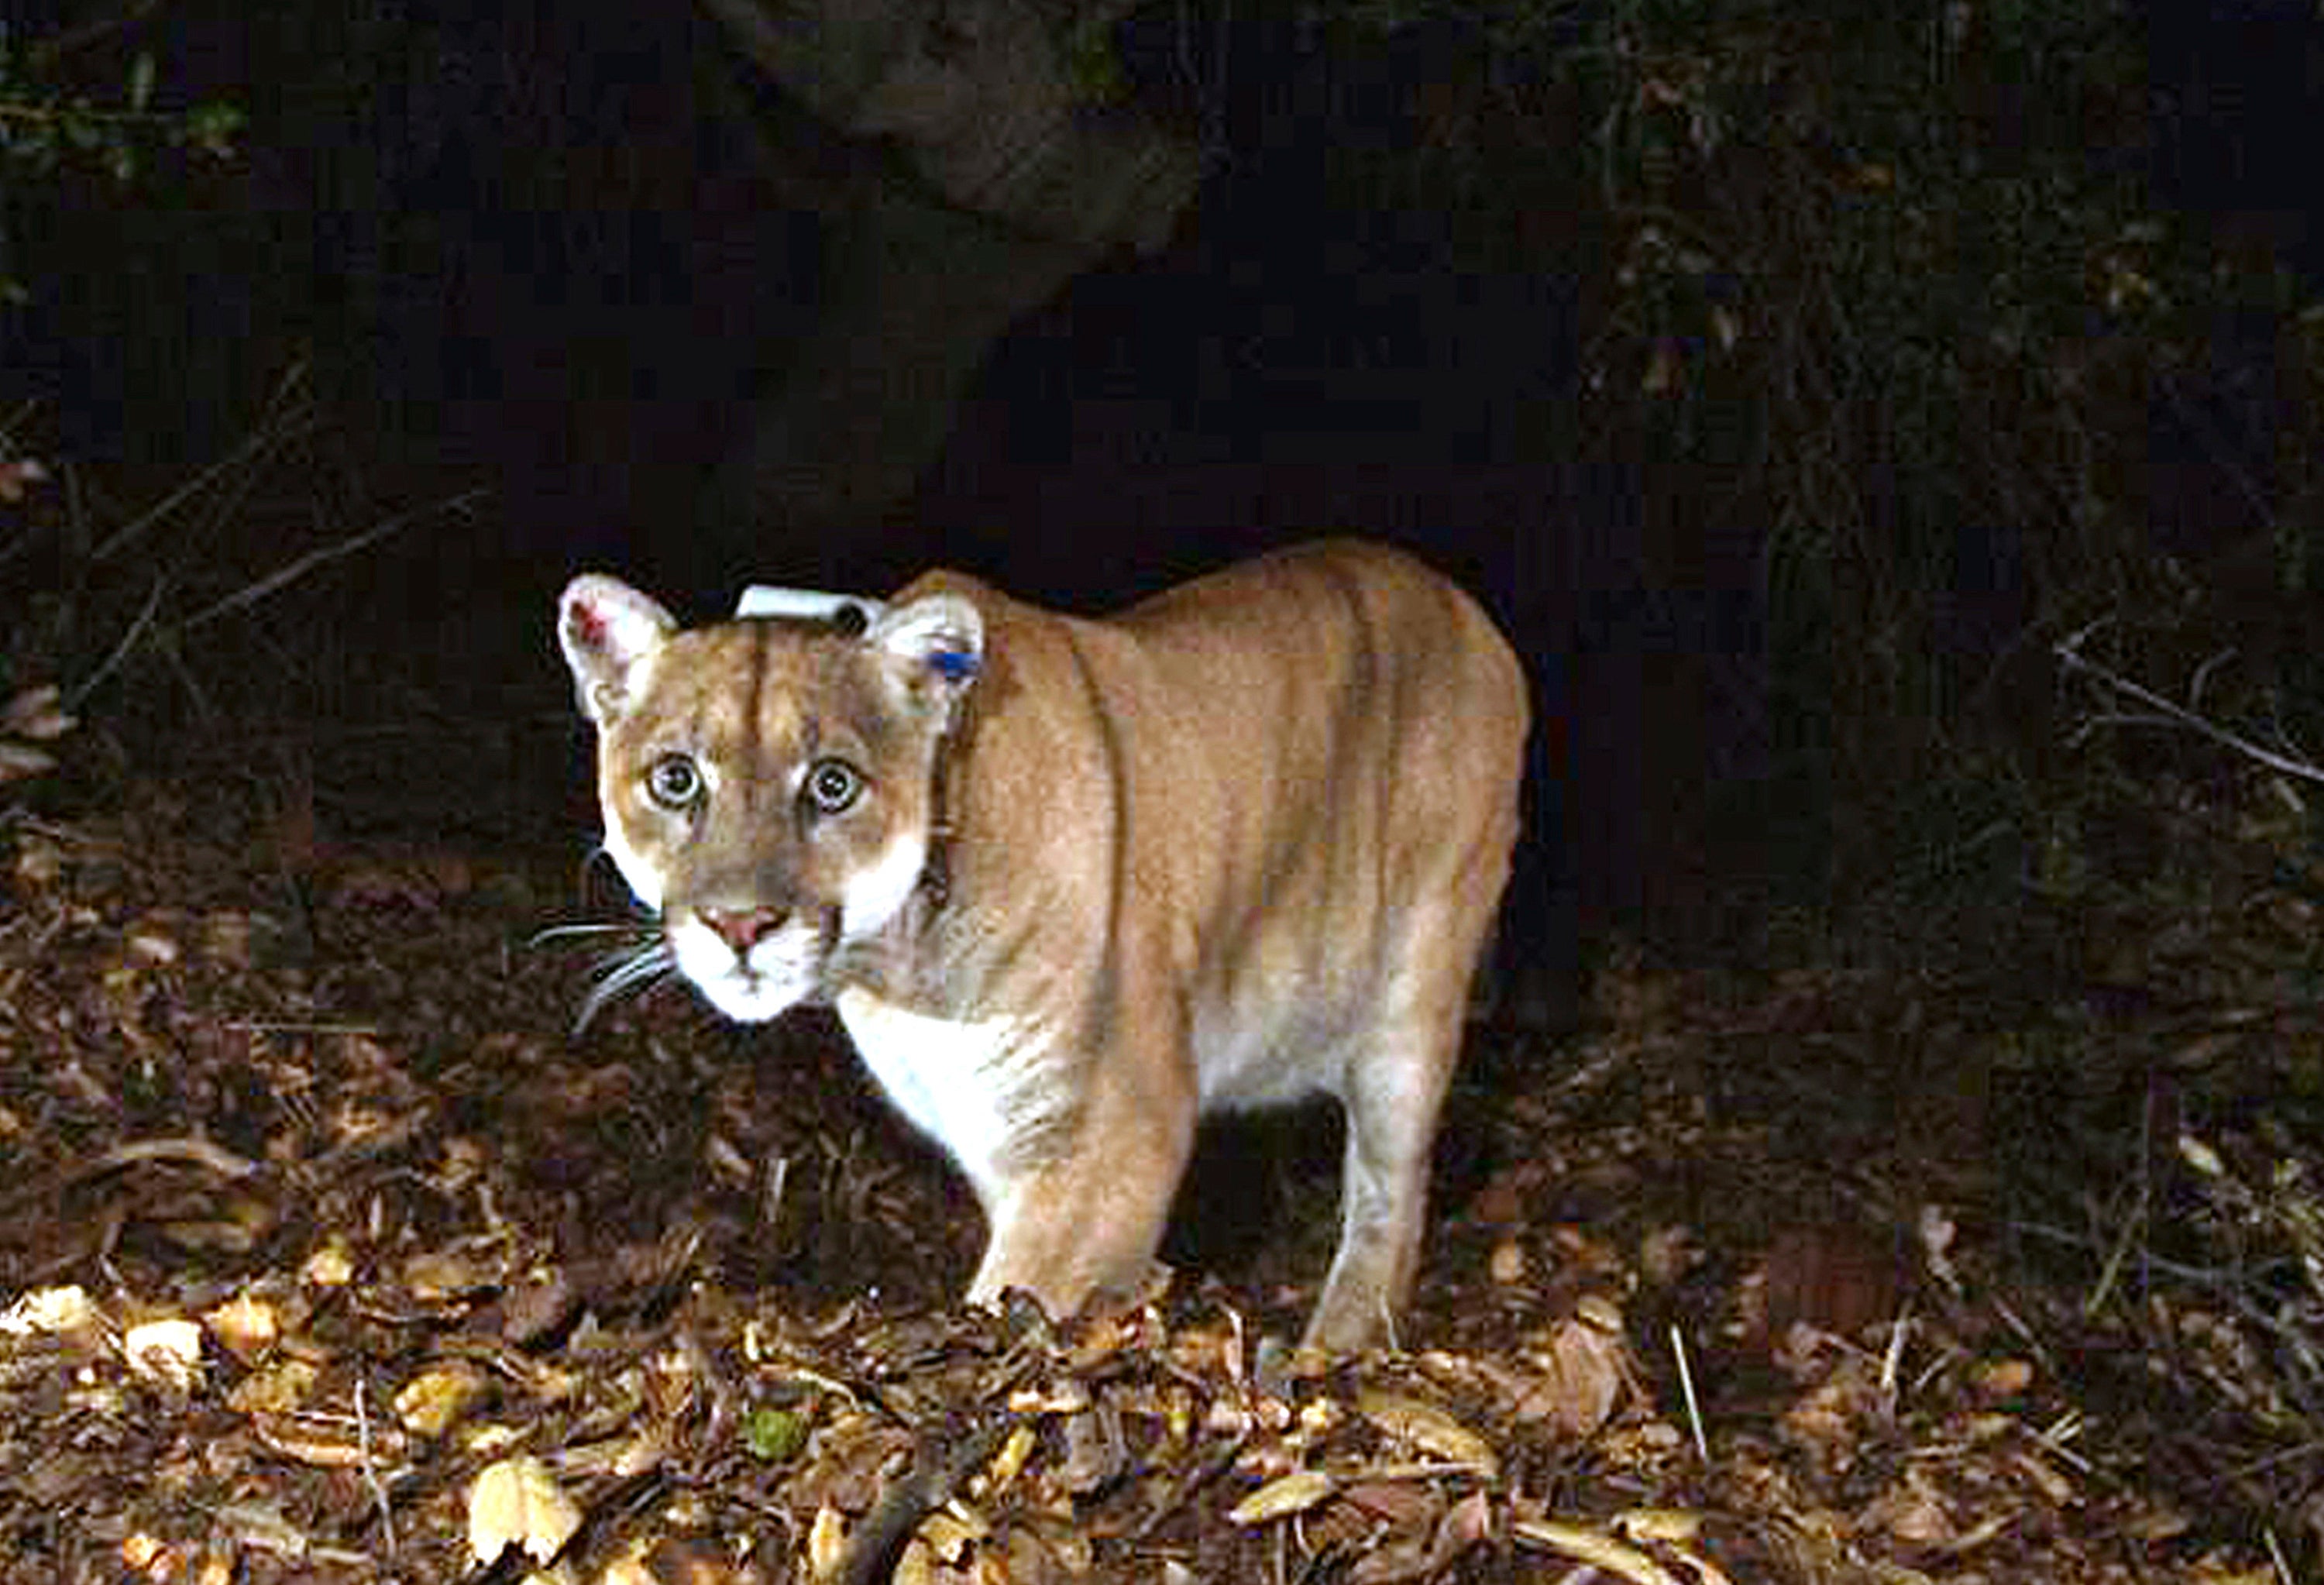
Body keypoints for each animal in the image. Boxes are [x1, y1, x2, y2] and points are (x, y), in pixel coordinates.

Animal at [560, 537, 1525, 1339]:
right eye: (676, 780)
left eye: (833, 785)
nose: (741, 924)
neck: (902, 971)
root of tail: (1460, 601)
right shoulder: (998, 1135)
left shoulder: (1113, 1135)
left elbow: (1017, 1297)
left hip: (1415, 992)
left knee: (1392, 1196)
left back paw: (1340, 1342)